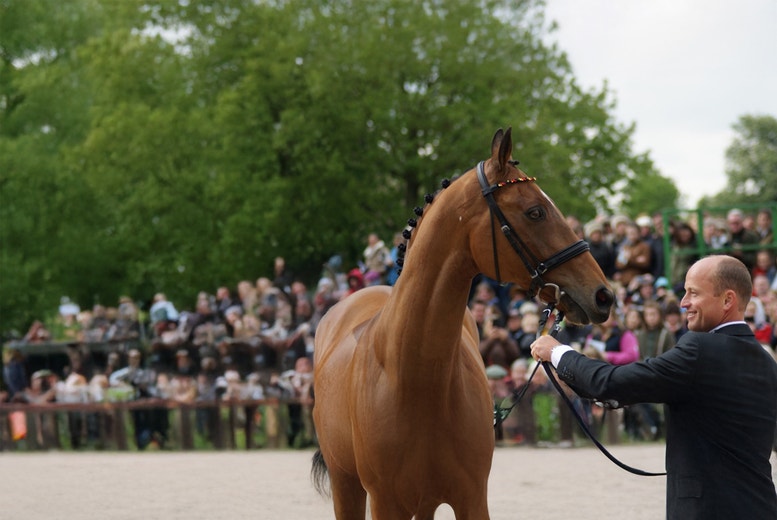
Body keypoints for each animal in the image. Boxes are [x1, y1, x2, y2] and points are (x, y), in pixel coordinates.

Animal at [311, 128, 614, 519]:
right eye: (535, 211)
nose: (603, 295)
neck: (417, 379)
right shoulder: (385, 502)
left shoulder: (471, 498)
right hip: (345, 486)